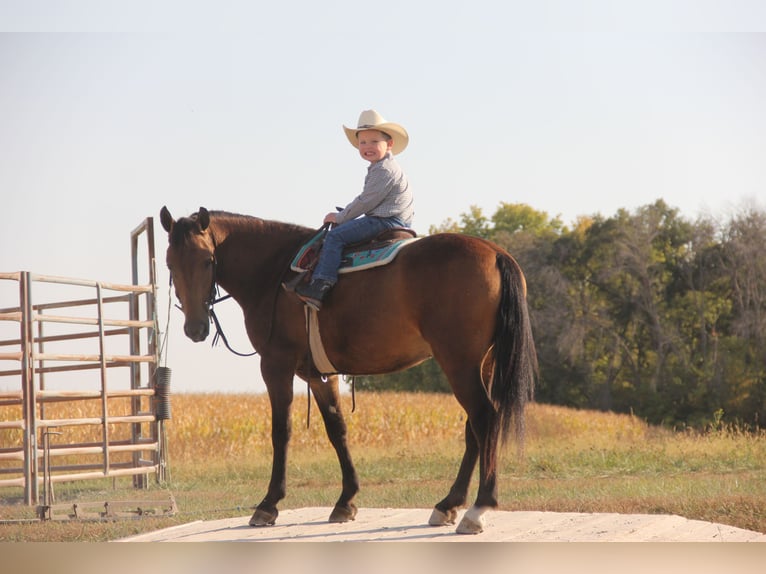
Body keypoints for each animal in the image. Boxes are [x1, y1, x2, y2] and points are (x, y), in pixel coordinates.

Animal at [159, 206, 536, 536]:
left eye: (207, 261)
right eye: (169, 264)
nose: (195, 328)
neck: (274, 272)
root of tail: (495, 252)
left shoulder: (276, 364)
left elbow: (281, 431)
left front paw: (268, 505)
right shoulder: (317, 373)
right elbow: (336, 428)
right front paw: (345, 501)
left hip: (459, 362)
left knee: (485, 418)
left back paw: (479, 508)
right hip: (480, 364)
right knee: (476, 429)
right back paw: (448, 504)